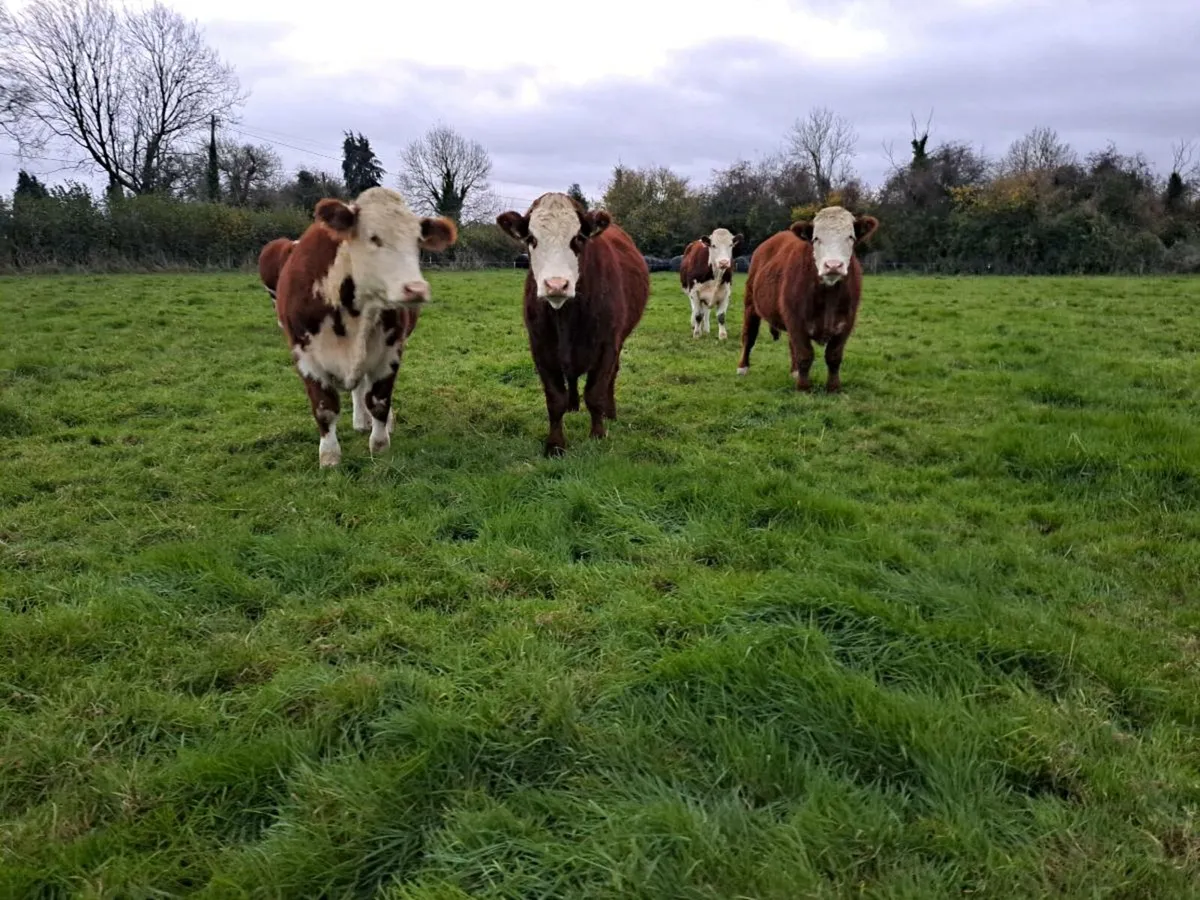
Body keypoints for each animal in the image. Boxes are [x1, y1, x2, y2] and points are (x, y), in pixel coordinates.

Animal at [271, 187, 457, 467]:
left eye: (417, 242)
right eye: (374, 238)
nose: (416, 289)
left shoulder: (390, 350)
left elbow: (379, 399)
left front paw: (379, 445)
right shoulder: (304, 354)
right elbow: (324, 408)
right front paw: (329, 456)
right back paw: (360, 422)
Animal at [496, 192, 650, 457]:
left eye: (577, 238)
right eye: (532, 239)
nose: (556, 285)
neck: (566, 317)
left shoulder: (607, 346)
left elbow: (595, 393)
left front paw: (598, 434)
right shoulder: (540, 348)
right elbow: (555, 399)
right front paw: (555, 444)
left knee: (611, 377)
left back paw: (610, 412)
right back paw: (573, 405)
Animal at [736, 205, 878, 392]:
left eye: (851, 237)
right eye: (816, 238)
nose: (833, 265)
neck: (829, 296)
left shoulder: (847, 321)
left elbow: (834, 356)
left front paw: (833, 387)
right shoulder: (795, 319)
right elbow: (805, 354)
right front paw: (803, 387)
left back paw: (795, 371)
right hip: (750, 304)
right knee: (749, 335)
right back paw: (743, 367)